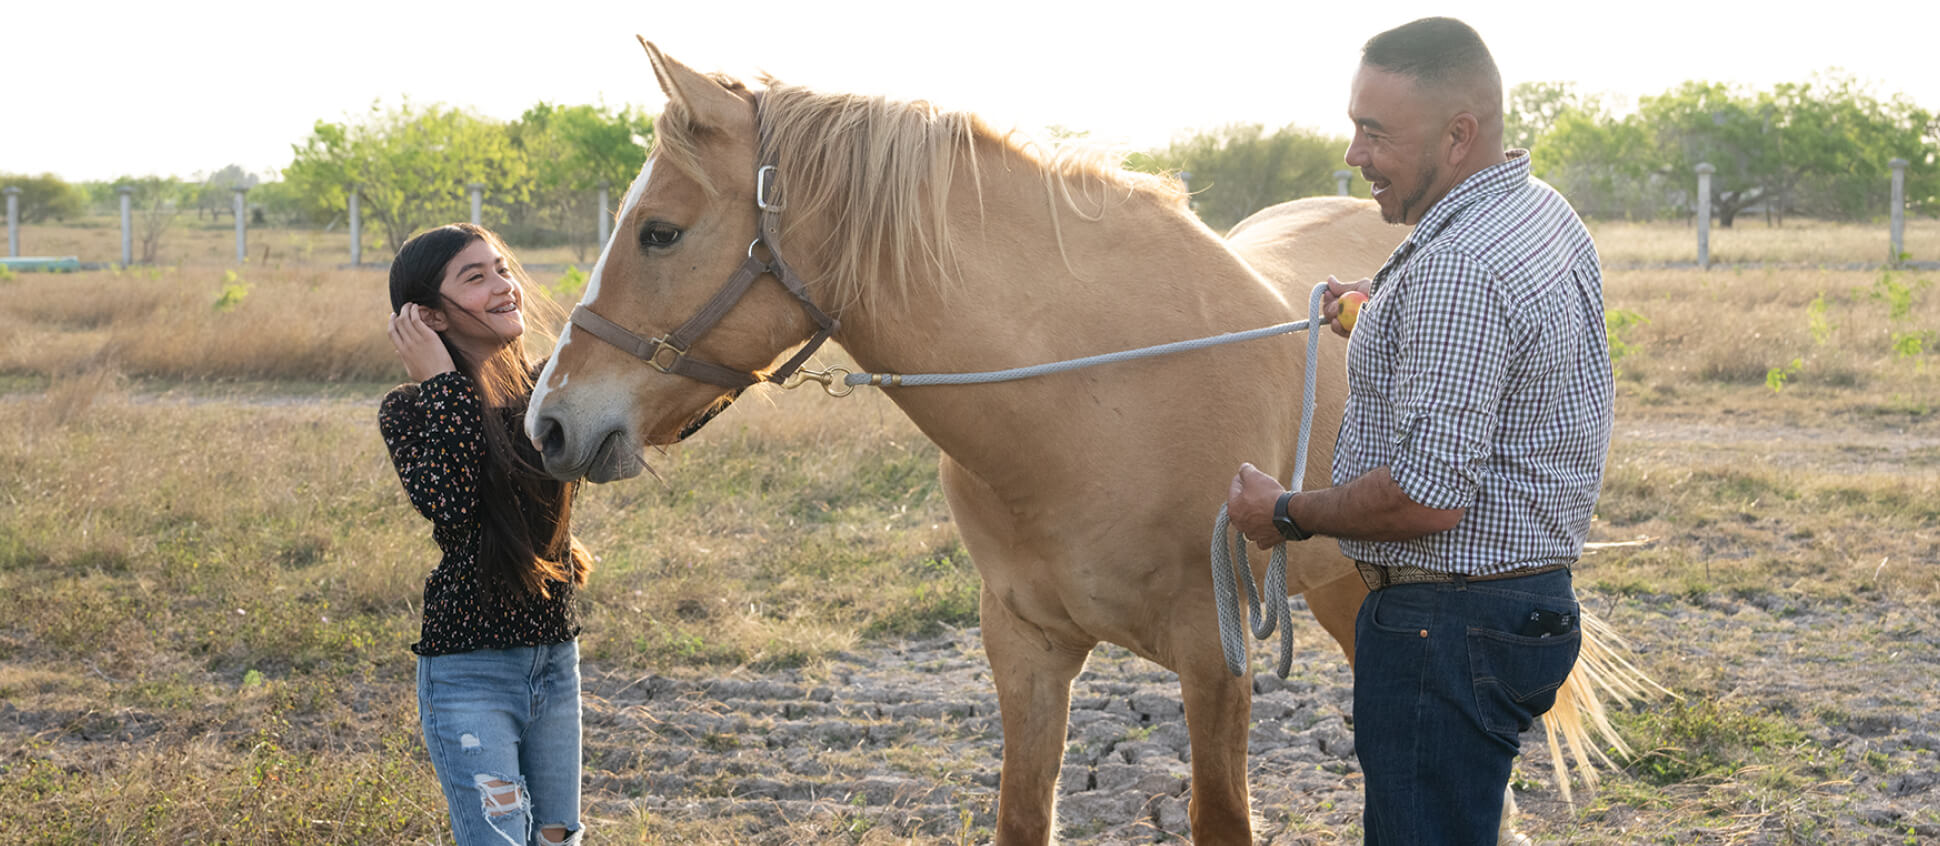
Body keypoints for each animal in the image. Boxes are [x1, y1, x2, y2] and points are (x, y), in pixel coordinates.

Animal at [527, 41, 1637, 846]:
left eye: (659, 232)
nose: (550, 422)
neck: (1089, 401)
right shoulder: (1024, 645)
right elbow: (1022, 816)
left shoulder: (1214, 658)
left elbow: (1220, 823)